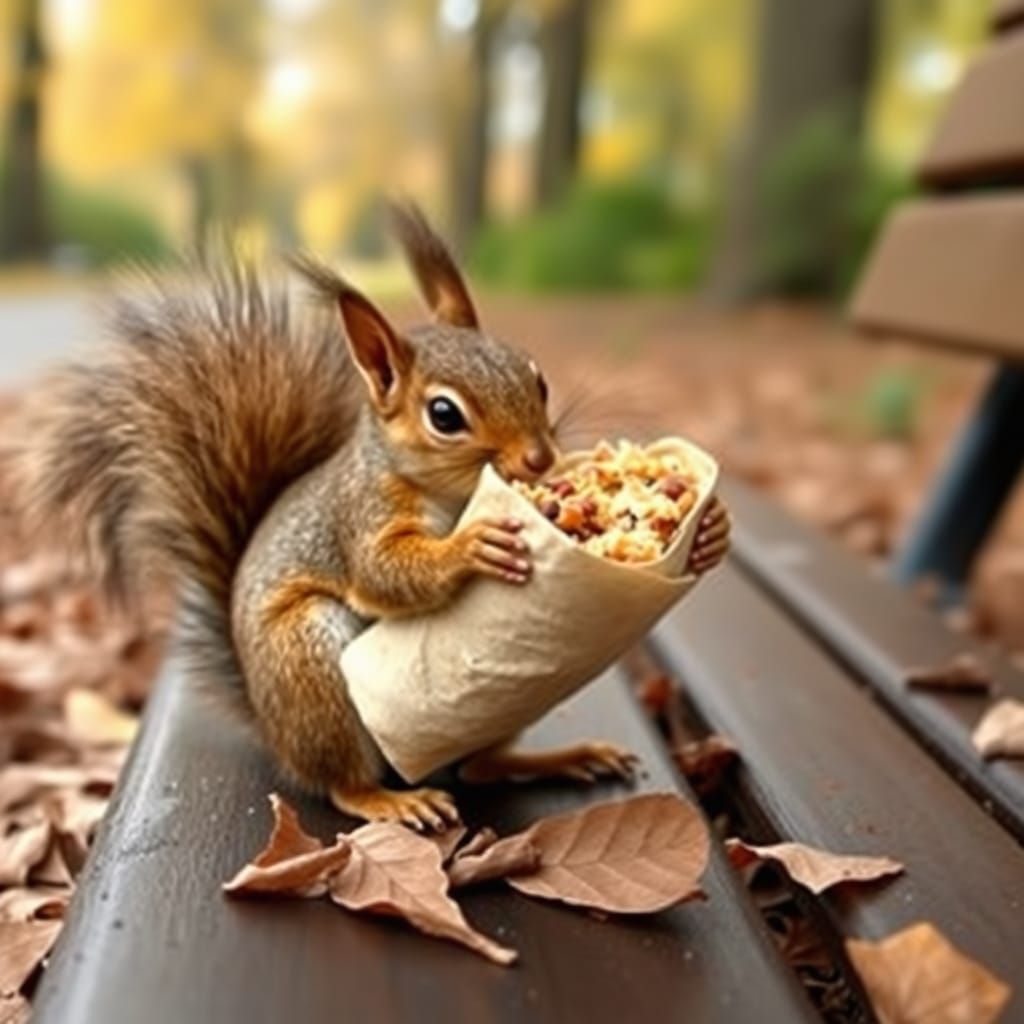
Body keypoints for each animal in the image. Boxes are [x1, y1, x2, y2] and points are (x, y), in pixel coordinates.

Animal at [11, 202, 731, 830]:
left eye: (537, 377)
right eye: (444, 415)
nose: (539, 458)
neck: (448, 493)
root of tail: (273, 728)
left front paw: (710, 532)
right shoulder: (360, 517)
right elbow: (384, 572)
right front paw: (472, 547)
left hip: (494, 708)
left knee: (480, 766)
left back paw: (559, 758)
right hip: (309, 663)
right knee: (342, 782)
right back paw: (388, 800)